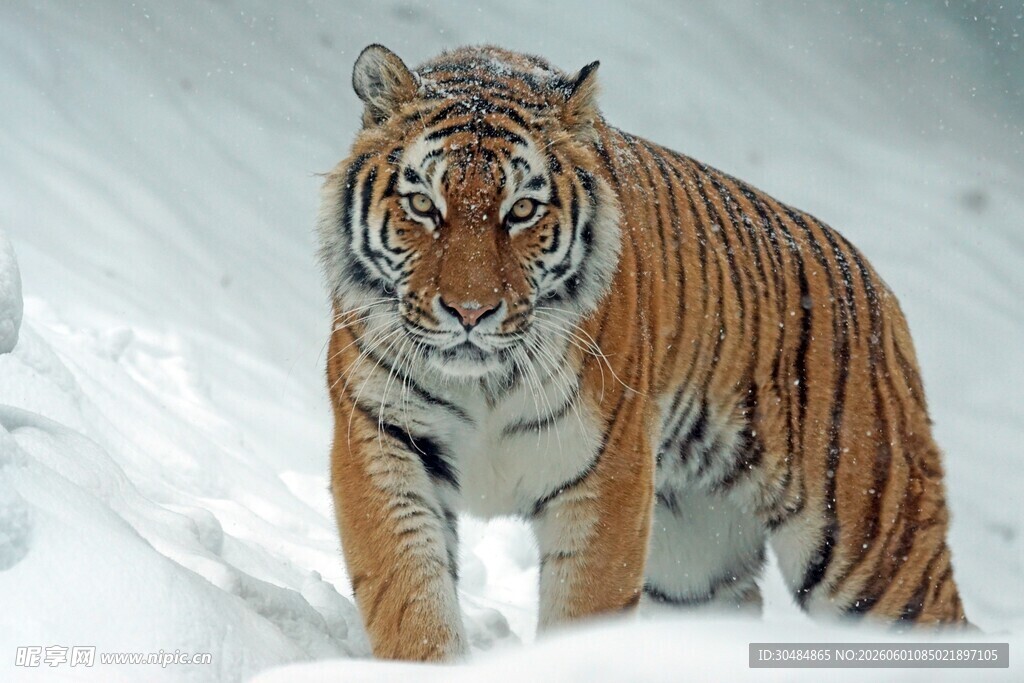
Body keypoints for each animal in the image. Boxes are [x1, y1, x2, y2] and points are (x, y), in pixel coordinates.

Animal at [317, 43, 969, 661]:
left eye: (521, 210)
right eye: (424, 205)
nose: (470, 312)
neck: (484, 383)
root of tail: (878, 288)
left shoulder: (608, 476)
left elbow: (583, 611)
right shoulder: (382, 439)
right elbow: (409, 595)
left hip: (872, 548)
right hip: (694, 564)